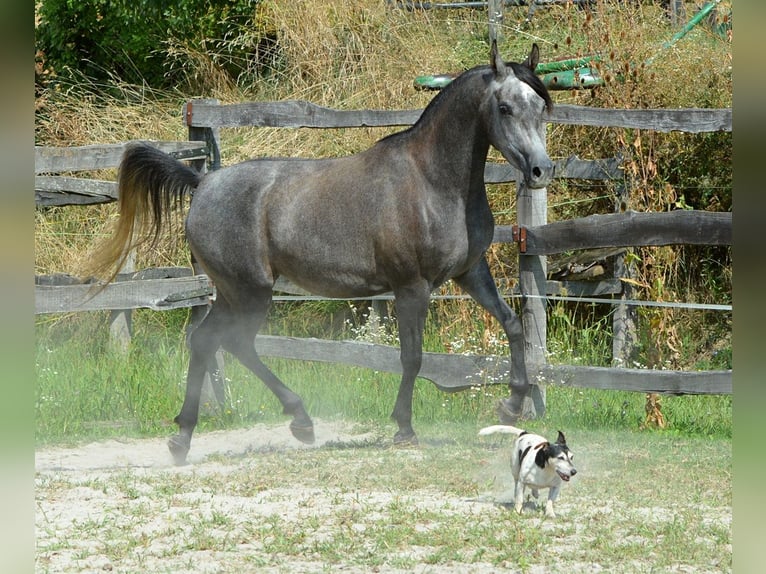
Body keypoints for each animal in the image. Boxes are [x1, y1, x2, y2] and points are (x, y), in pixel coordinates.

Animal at [93, 44, 556, 468]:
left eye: (540, 105)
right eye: (504, 107)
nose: (541, 171)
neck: (432, 182)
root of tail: (202, 183)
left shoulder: (470, 272)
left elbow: (514, 326)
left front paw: (511, 407)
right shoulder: (411, 287)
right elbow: (412, 357)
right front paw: (404, 428)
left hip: (234, 292)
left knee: (212, 342)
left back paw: (194, 437)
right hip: (248, 292)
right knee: (229, 342)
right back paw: (287, 423)